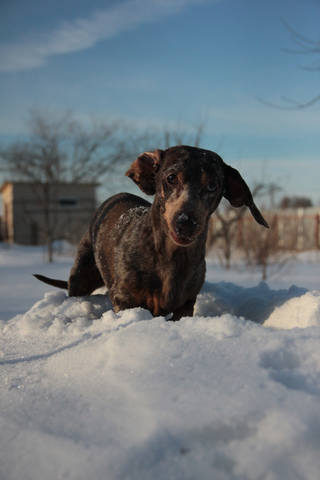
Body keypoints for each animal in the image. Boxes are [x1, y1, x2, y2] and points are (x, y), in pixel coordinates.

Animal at [33, 144, 268, 320]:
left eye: (212, 185)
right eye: (171, 177)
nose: (186, 222)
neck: (170, 257)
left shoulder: (186, 305)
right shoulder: (125, 300)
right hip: (81, 277)